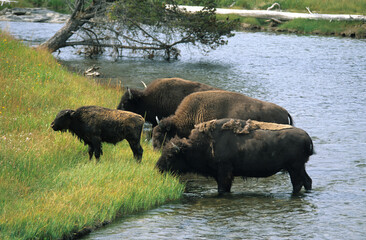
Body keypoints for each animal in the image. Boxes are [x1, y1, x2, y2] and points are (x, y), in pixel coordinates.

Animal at [156, 118, 314, 195]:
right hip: (299, 167)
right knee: (307, 181)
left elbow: (222, 188)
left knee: (298, 183)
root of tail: (307, 137)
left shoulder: (224, 172)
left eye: (170, 156)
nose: (158, 168)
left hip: (294, 168)